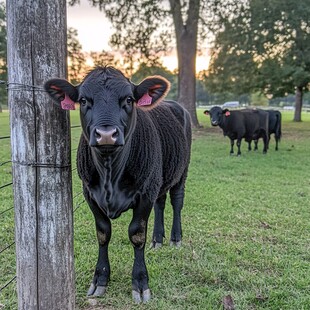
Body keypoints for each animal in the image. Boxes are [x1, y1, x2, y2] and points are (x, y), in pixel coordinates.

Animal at [44, 66, 191, 302]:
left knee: (176, 201)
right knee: (160, 203)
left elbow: (137, 234)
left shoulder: (145, 193)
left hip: (182, 170)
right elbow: (103, 233)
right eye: (83, 100)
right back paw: (157, 239)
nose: (106, 135)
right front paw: (100, 279)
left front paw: (140, 283)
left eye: (129, 99)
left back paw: (175, 238)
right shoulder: (90, 193)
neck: (110, 174)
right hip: (159, 178)